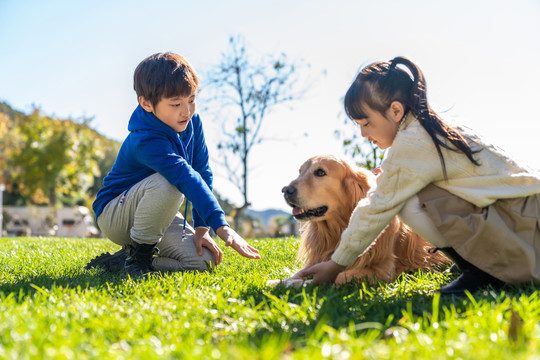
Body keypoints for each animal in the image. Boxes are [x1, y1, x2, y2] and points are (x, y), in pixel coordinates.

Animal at [280, 156, 450, 286]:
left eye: (320, 172)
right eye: (300, 171)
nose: (285, 190)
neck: (338, 230)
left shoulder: (382, 270)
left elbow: (338, 275)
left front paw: (303, 283)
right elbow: (295, 275)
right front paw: (282, 281)